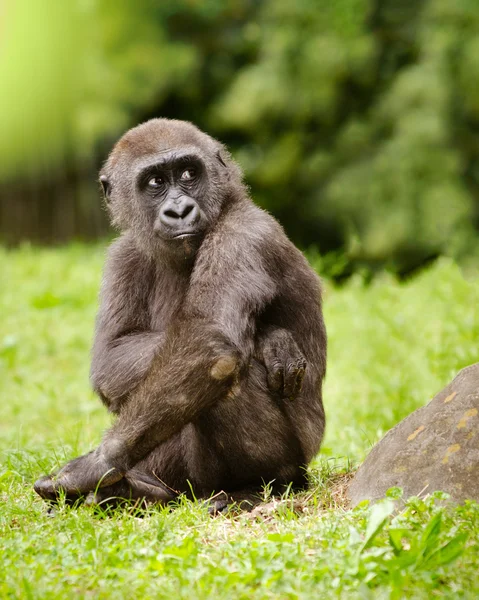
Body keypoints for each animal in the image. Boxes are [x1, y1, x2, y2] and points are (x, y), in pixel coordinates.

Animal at [32, 118, 326, 510]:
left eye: (188, 173)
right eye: (155, 182)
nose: (179, 211)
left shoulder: (245, 233)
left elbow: (208, 342)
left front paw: (98, 463)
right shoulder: (122, 254)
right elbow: (112, 356)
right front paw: (271, 339)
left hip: (293, 464)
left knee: (226, 373)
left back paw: (260, 484)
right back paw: (137, 491)